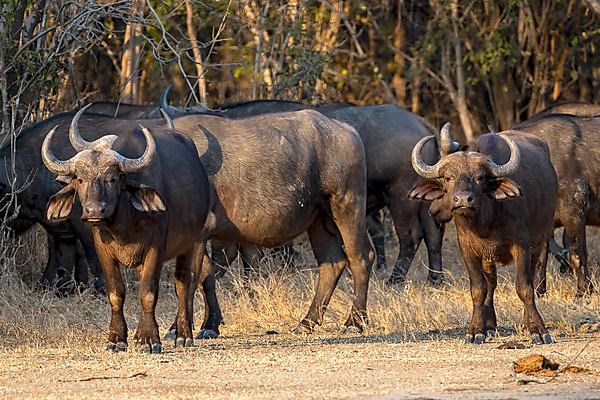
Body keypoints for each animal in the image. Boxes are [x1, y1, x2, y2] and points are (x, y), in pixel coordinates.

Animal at [43, 107, 210, 354]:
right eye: (80, 179)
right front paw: (117, 339)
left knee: (184, 284)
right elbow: (115, 293)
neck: (123, 225)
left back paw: (183, 335)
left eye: (112, 179)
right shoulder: (102, 251)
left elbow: (148, 292)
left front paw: (148, 339)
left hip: (193, 242)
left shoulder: (156, 249)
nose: (94, 211)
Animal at [410, 125, 556, 344]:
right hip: (488, 257)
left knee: (531, 273)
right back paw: (489, 323)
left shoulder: (522, 244)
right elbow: (479, 288)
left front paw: (538, 330)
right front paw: (476, 330)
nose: (463, 199)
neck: (486, 221)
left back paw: (524, 322)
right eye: (448, 178)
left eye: (480, 178)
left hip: (540, 240)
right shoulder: (468, 249)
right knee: (491, 282)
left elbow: (524, 286)